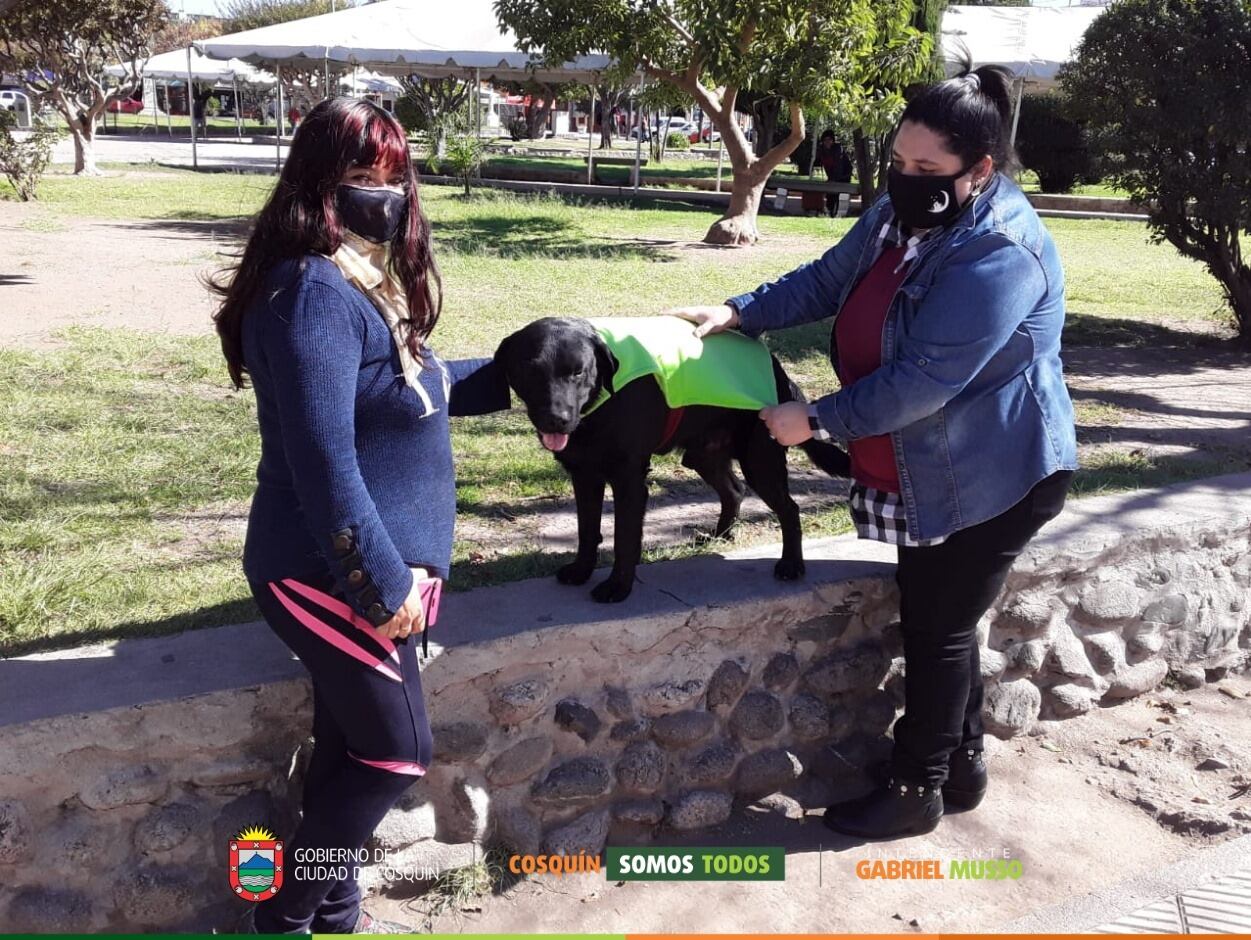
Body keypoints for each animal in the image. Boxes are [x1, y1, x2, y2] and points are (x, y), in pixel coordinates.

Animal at [492, 317, 855, 603]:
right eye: (531, 371)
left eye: (578, 372)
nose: (557, 420)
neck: (599, 405)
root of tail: (779, 370)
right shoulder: (584, 476)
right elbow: (586, 530)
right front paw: (582, 570)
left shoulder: (629, 481)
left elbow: (624, 539)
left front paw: (618, 587)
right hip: (704, 455)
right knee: (734, 490)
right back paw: (720, 535)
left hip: (759, 461)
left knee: (789, 509)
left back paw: (791, 564)